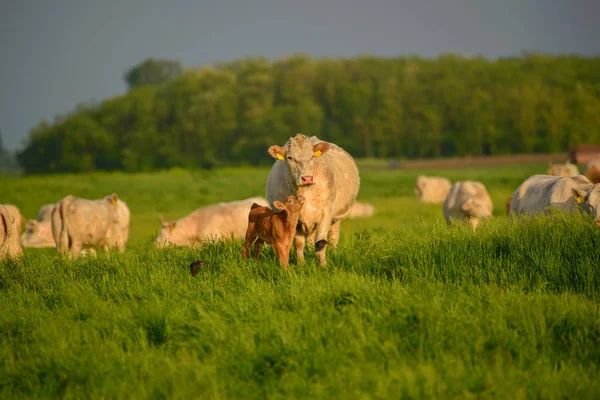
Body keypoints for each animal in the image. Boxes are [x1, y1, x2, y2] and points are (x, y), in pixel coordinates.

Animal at [264, 134, 358, 266]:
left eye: (312, 156)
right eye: (290, 157)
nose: (307, 178)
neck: (304, 192)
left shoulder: (325, 214)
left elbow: (321, 242)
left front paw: (323, 265)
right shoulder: (295, 220)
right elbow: (299, 244)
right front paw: (301, 264)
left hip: (336, 218)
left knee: (333, 237)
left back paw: (334, 253)